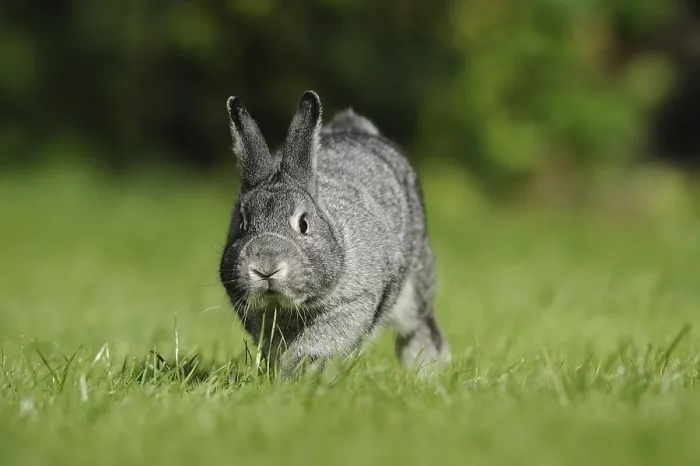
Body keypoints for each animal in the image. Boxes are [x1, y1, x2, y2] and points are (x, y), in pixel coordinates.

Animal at [219, 90, 451, 376]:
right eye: (241, 224)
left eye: (304, 224)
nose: (266, 267)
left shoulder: (352, 303)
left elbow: (321, 342)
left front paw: (303, 373)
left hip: (414, 287)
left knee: (419, 327)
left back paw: (428, 372)